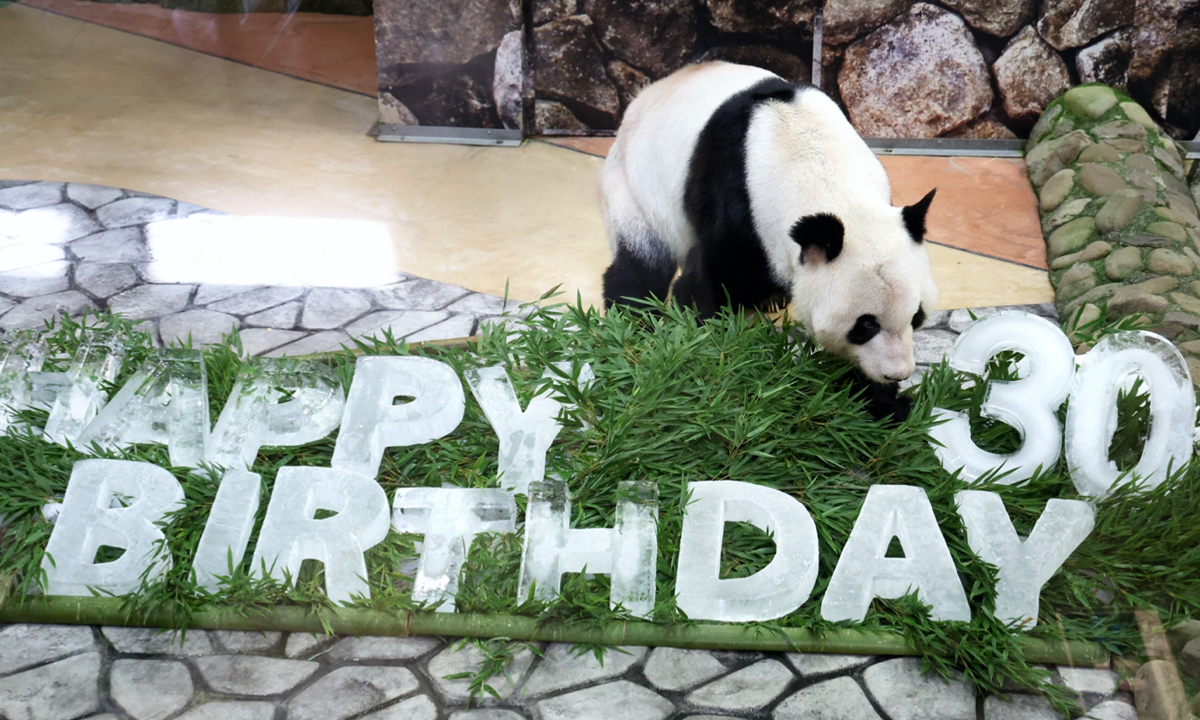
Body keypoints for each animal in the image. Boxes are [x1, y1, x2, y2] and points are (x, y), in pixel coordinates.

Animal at [599, 61, 939, 418]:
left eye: (917, 316)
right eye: (865, 325)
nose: (898, 372)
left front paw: (886, 403)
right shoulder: (738, 205)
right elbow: (699, 288)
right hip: (635, 186)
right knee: (641, 267)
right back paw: (632, 325)